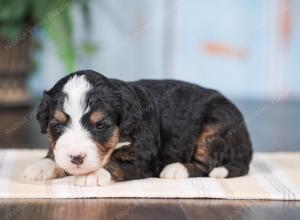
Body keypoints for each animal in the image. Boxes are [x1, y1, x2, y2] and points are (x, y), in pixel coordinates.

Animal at [22, 70, 253, 186]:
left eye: (101, 125)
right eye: (56, 124)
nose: (76, 158)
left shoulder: (144, 156)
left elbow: (116, 162)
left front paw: (93, 174)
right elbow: (55, 152)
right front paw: (42, 165)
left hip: (215, 125)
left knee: (207, 164)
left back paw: (176, 169)